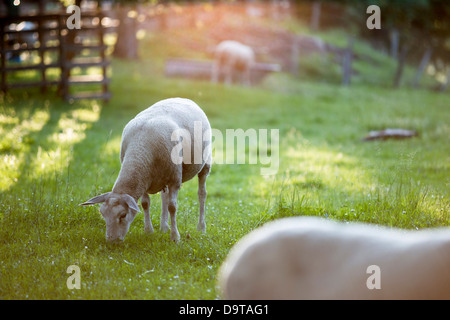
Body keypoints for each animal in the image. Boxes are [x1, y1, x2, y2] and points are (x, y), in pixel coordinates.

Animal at [80, 98, 211, 242]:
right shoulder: (144, 178)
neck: (139, 149)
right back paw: (164, 227)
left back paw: (201, 228)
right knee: (164, 197)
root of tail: (183, 98)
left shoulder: (174, 179)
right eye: (102, 214)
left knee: (202, 194)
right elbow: (145, 204)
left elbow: (172, 207)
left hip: (205, 163)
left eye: (123, 215)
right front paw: (149, 231)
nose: (111, 241)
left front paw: (175, 237)